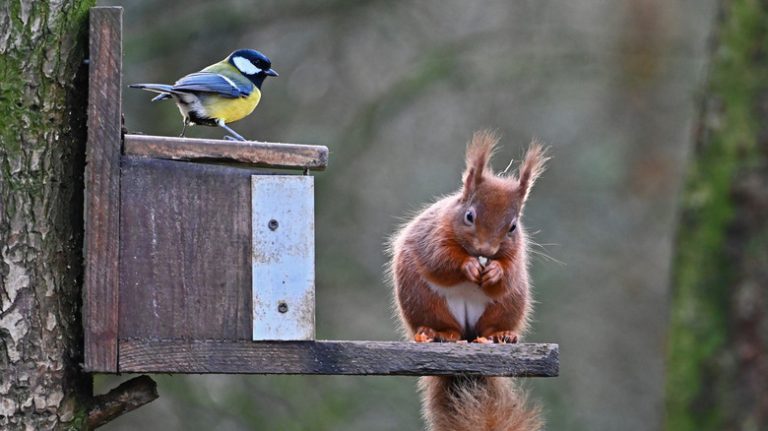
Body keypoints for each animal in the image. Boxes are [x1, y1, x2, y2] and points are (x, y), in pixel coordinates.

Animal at [390, 130, 544, 430]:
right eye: (469, 216)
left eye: (513, 227)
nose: (486, 250)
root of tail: (467, 331)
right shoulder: (433, 236)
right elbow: (440, 260)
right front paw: (469, 266)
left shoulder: (516, 254)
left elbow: (508, 274)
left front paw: (495, 271)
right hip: (425, 300)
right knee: (443, 325)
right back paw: (438, 333)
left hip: (507, 305)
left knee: (492, 325)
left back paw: (501, 335)